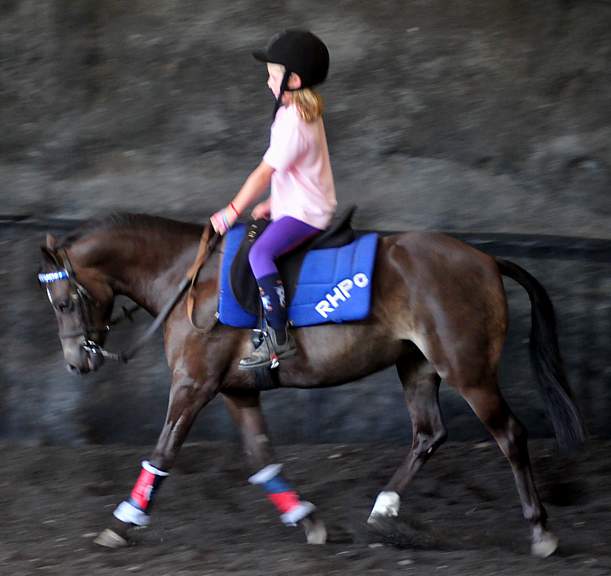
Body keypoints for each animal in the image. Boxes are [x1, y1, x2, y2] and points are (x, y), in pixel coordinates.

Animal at [39, 213, 588, 560]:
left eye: (64, 302)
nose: (75, 362)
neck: (189, 282)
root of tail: (486, 259)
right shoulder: (237, 390)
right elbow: (261, 459)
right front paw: (309, 520)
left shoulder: (193, 384)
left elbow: (162, 453)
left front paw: (120, 524)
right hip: (417, 365)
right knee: (428, 435)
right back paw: (384, 512)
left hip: (466, 369)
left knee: (509, 435)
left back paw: (541, 530)